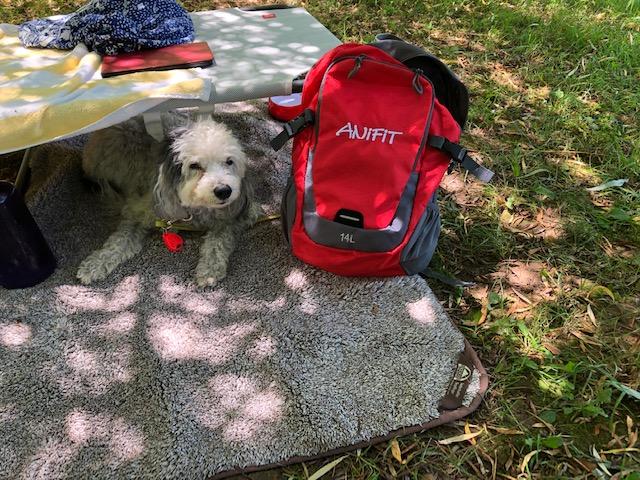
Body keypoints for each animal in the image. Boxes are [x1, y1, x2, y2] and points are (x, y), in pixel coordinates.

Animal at [76, 114, 260, 287]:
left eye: (229, 161)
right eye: (194, 165)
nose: (224, 191)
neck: (195, 209)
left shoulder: (237, 216)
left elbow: (219, 240)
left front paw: (210, 269)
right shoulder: (139, 212)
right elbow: (119, 240)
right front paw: (95, 264)